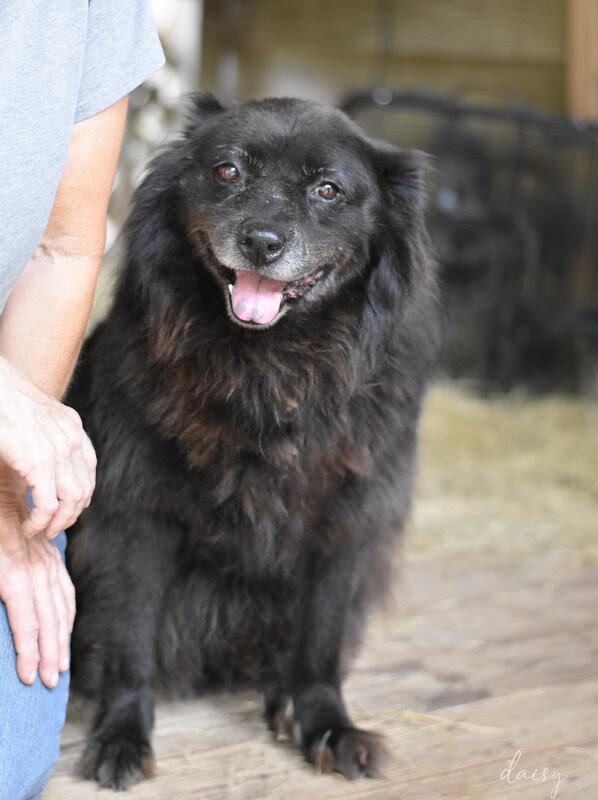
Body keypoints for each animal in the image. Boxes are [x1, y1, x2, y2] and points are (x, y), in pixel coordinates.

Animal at [67, 94, 440, 788]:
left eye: (328, 189)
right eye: (228, 172)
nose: (262, 243)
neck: (271, 371)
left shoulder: (346, 523)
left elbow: (320, 645)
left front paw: (327, 725)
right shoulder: (136, 517)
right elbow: (130, 641)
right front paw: (121, 735)